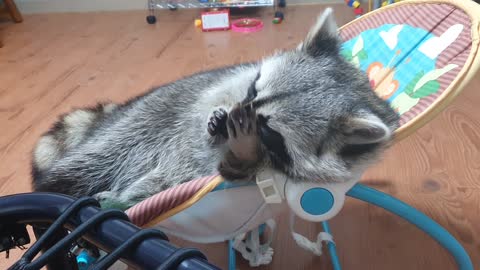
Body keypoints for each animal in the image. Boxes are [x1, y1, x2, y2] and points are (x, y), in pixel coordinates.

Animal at [30, 8, 400, 209]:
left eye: (267, 128)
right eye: (253, 89)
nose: (229, 122)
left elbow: (232, 172)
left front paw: (243, 151)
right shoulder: (224, 88)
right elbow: (211, 106)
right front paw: (217, 120)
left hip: (157, 178)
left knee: (149, 188)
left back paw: (120, 199)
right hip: (146, 118)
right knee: (87, 165)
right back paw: (55, 192)